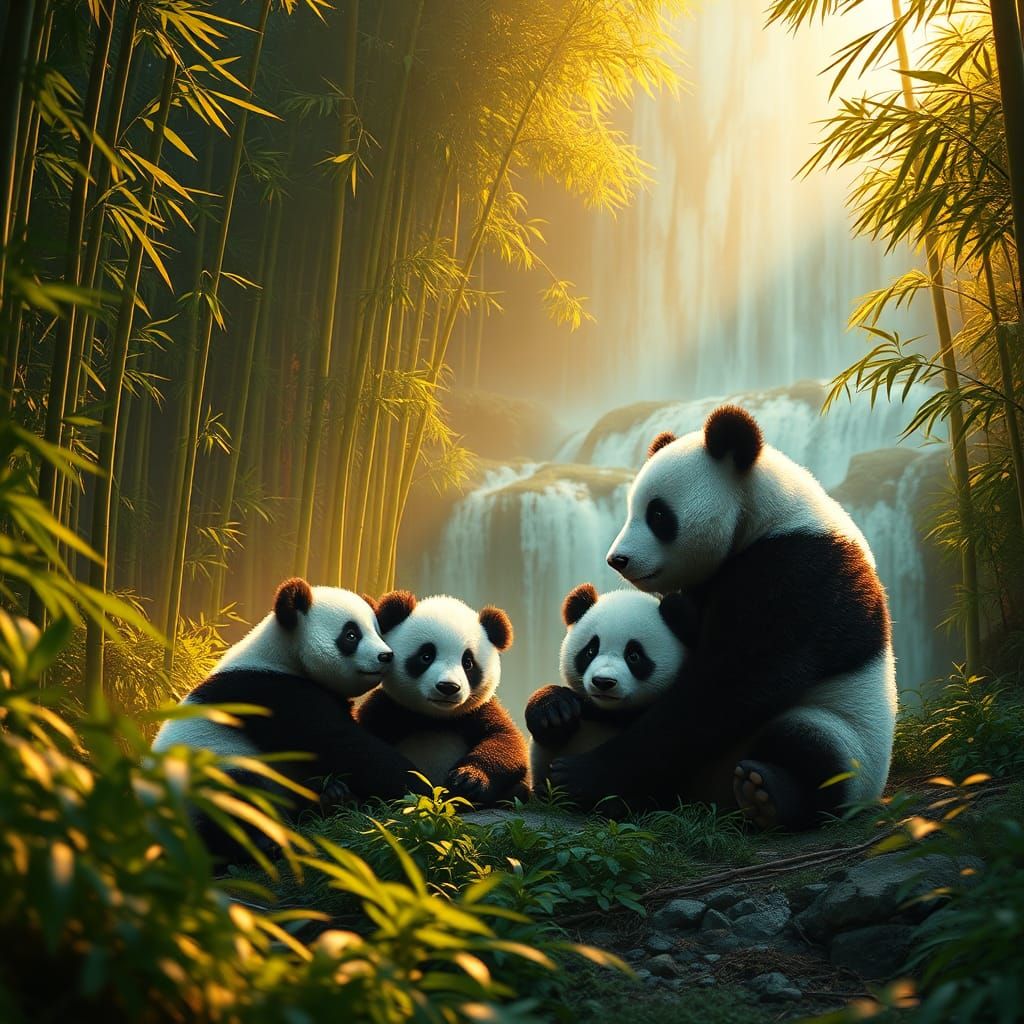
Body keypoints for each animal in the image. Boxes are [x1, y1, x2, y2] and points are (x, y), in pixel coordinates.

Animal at [152, 577, 423, 858]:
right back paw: (267, 840)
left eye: (378, 632)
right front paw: (420, 789)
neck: (282, 655)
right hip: (211, 764)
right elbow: (341, 746)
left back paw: (334, 799)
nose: (386, 656)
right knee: (238, 800)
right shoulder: (271, 693)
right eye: (351, 635)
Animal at [355, 590, 529, 806]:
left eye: (468, 662)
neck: (435, 717)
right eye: (426, 656)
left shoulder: (478, 710)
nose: (448, 687)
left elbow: (505, 740)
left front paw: (468, 779)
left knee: (517, 790)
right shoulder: (390, 707)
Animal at [526, 584, 699, 794]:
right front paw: (554, 712)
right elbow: (549, 735)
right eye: (590, 651)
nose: (603, 682)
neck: (609, 712)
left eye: (634, 656)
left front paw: (576, 776)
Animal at [549, 405, 898, 830]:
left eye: (658, 515)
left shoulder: (799, 572)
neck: (765, 514)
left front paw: (579, 775)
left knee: (811, 748)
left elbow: (733, 683)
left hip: (854, 739)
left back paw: (769, 794)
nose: (618, 559)